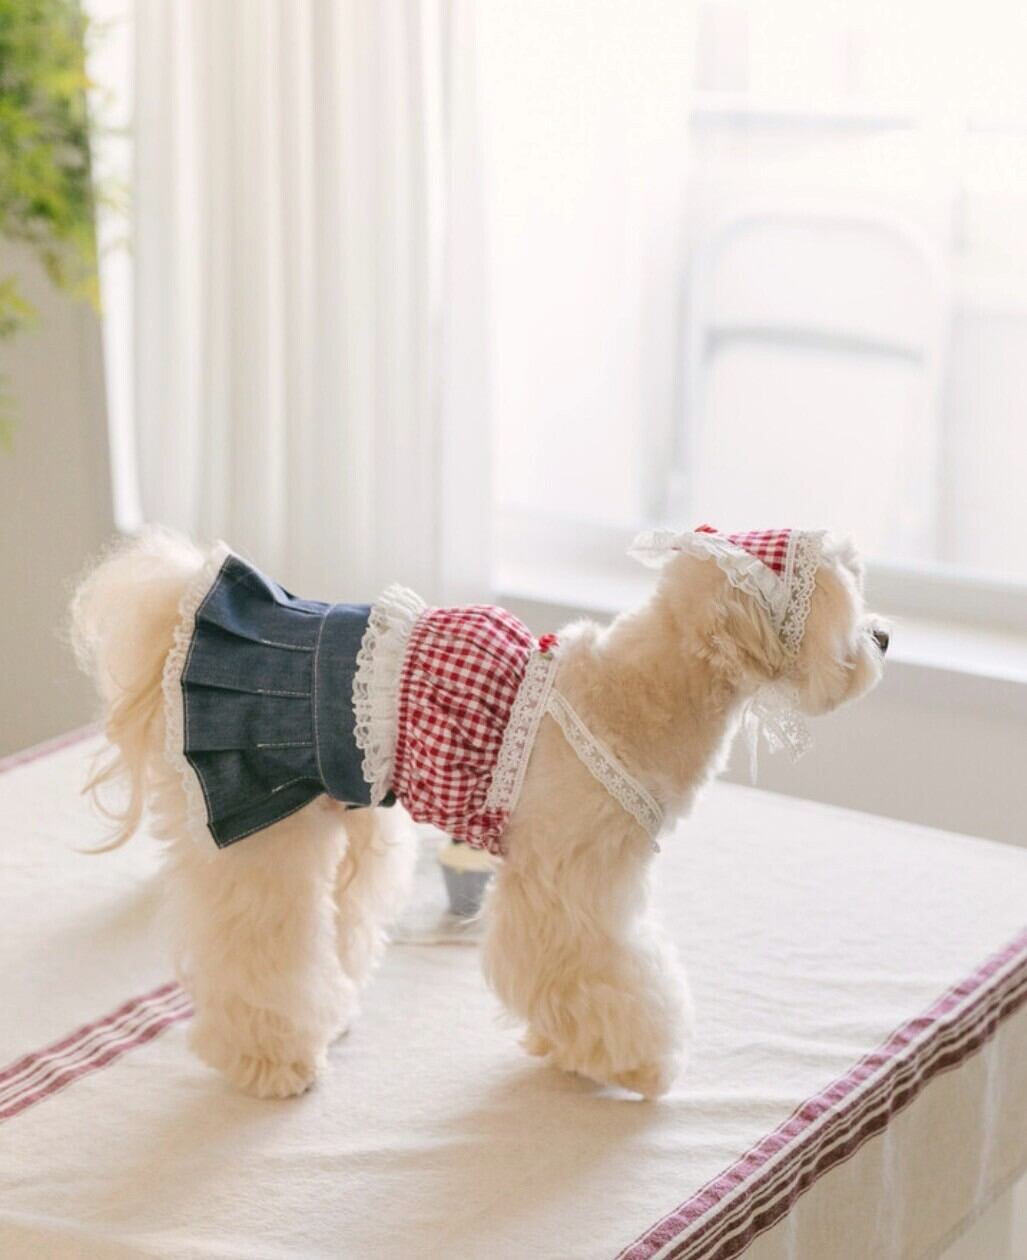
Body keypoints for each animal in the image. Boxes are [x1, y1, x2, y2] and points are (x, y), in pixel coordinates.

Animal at [70, 525, 886, 1099]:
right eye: (840, 596)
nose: (882, 635)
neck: (637, 690)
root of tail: (183, 614)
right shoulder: (573, 886)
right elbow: (603, 973)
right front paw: (636, 1065)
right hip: (257, 819)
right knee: (253, 944)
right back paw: (271, 1060)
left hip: (340, 808)